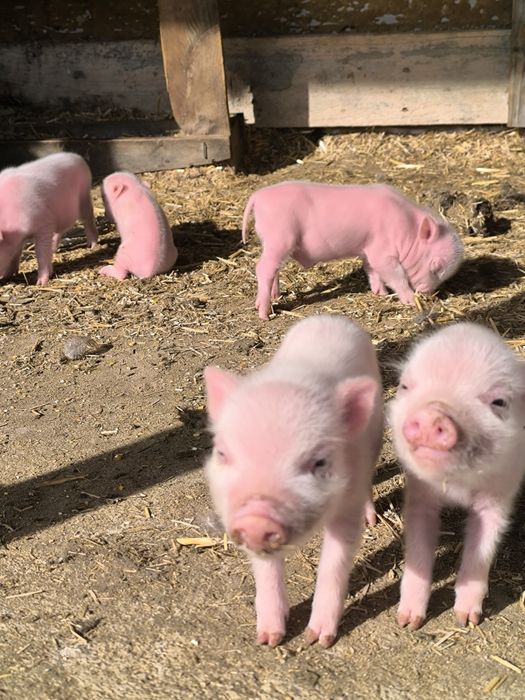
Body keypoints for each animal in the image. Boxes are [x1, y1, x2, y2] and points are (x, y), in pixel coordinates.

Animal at [0, 152, 98, 285]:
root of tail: (77, 157)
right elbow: (16, 254)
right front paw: (7, 275)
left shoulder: (44, 223)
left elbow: (41, 253)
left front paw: (40, 283)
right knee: (59, 232)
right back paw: (54, 250)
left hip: (84, 196)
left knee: (88, 219)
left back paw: (92, 245)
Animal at [204, 314, 384, 647]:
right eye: (222, 453)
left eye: (320, 462)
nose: (257, 519)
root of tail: (330, 317)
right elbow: (266, 570)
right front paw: (269, 639)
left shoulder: (347, 502)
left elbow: (335, 562)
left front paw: (318, 639)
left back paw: (372, 520)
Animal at [242, 181, 464, 320]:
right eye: (436, 266)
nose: (427, 294)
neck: (406, 230)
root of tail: (257, 197)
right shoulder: (383, 252)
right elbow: (396, 274)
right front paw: (410, 301)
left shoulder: (368, 250)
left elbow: (372, 271)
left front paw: (380, 294)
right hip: (279, 238)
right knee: (263, 268)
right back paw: (264, 314)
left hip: (272, 242)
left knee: (274, 268)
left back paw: (275, 297)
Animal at [388, 322, 525, 629]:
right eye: (404, 386)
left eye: (499, 401)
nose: (433, 413)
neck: (457, 485)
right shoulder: (419, 493)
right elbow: (418, 546)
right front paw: (408, 622)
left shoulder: (500, 494)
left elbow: (482, 546)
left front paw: (467, 619)